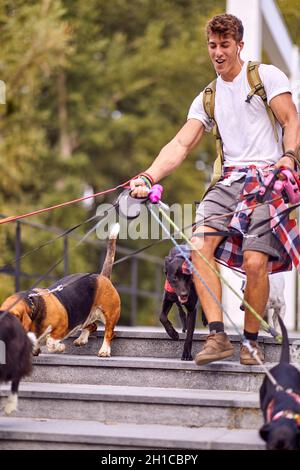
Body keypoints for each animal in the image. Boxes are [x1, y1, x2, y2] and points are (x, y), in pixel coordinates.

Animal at [0, 224, 122, 356]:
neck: (34, 305)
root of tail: (102, 276)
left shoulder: (61, 327)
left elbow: (50, 342)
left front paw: (60, 347)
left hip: (110, 314)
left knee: (109, 333)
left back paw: (104, 350)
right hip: (86, 317)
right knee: (92, 326)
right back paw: (81, 339)